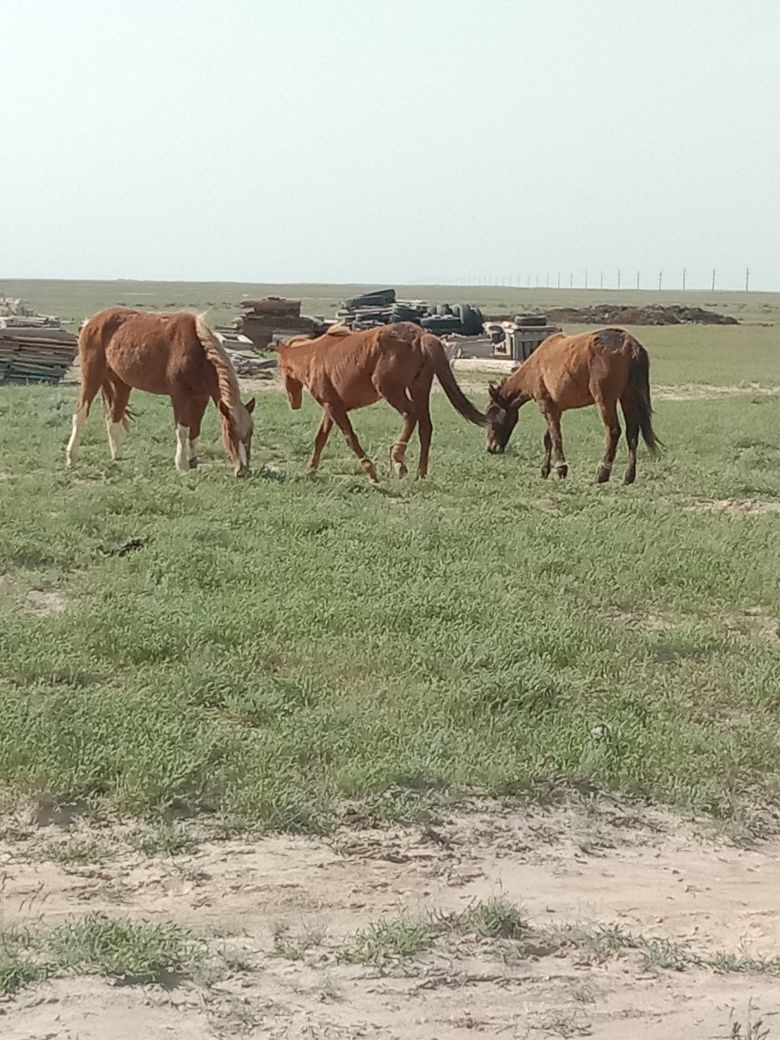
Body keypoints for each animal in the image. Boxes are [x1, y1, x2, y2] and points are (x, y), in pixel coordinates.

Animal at [67, 303, 256, 476]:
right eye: (230, 432)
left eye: (250, 433)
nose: (243, 471)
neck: (197, 351)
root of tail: (90, 322)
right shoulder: (179, 395)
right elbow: (183, 430)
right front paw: (181, 464)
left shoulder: (201, 398)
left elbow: (195, 431)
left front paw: (193, 461)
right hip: (92, 376)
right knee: (80, 413)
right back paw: (71, 458)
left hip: (121, 384)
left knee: (114, 418)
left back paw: (117, 456)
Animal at [278, 318, 486, 480]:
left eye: (281, 367)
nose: (294, 403)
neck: (312, 357)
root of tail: (421, 335)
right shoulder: (331, 407)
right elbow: (320, 438)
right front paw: (310, 469)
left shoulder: (334, 408)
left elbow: (350, 438)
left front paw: (371, 472)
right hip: (418, 387)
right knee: (425, 427)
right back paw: (420, 474)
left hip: (390, 390)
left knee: (410, 414)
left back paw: (398, 460)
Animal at [488, 326, 661, 484]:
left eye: (492, 421)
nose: (491, 448)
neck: (535, 366)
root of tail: (630, 344)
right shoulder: (556, 409)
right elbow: (548, 438)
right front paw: (545, 469)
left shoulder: (546, 407)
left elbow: (556, 437)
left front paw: (561, 468)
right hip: (628, 396)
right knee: (632, 432)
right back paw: (629, 476)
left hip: (605, 399)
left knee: (613, 431)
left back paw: (602, 473)